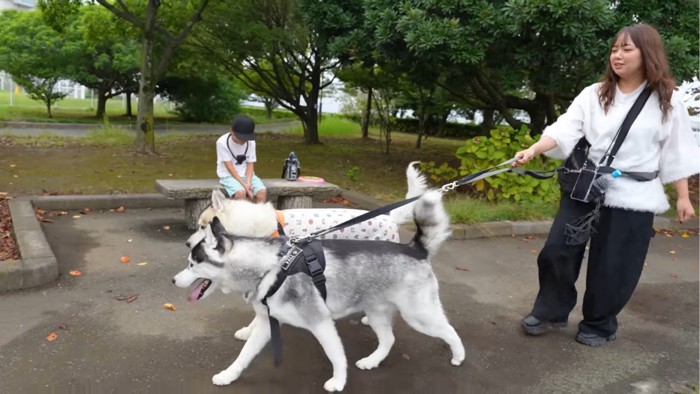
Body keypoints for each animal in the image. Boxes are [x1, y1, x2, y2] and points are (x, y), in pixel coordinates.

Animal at [171, 190, 464, 390]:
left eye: (192, 264)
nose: (173, 280)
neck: (271, 266)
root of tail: (415, 249)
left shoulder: (320, 321)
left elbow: (336, 355)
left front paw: (338, 382)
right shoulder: (268, 322)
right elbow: (244, 354)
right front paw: (229, 374)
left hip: (420, 315)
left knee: (449, 330)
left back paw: (459, 356)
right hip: (379, 311)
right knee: (388, 339)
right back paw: (371, 360)